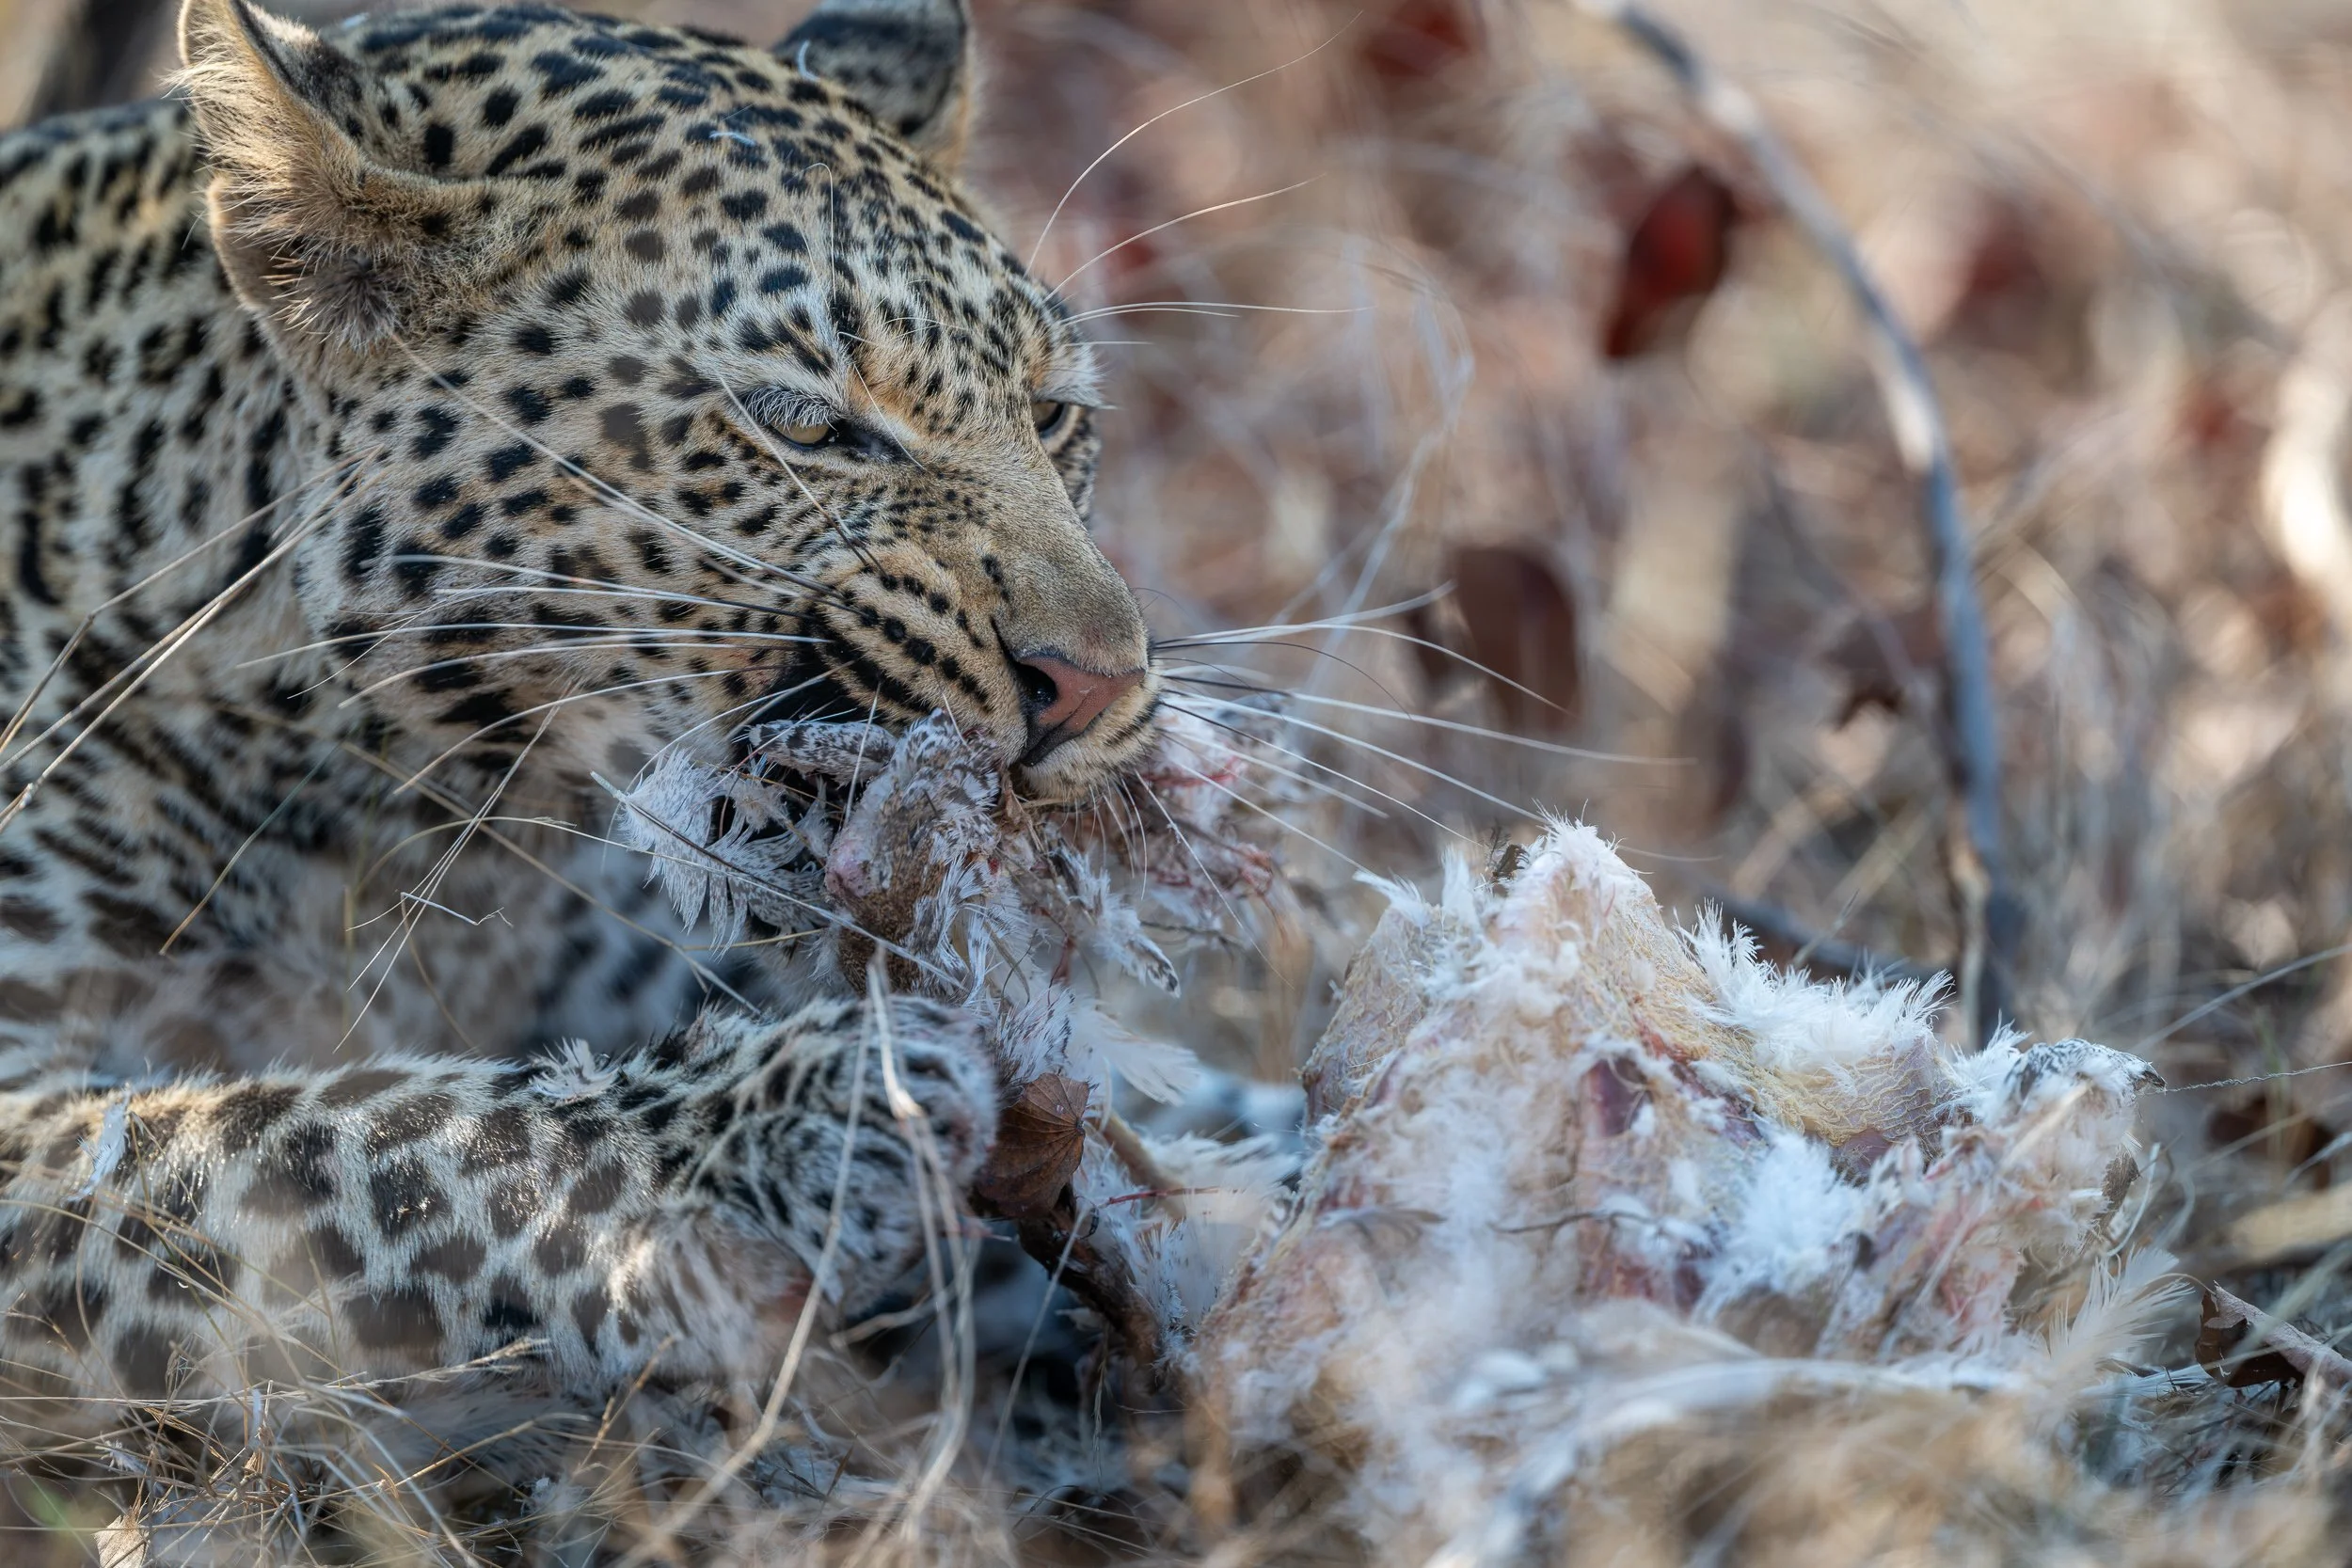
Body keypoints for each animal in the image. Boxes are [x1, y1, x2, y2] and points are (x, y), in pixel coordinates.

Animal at [0, 0, 1163, 1485]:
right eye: (803, 422)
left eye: (1055, 414)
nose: (1100, 682)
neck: (425, 811)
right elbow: (333, 1133)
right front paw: (786, 1124)